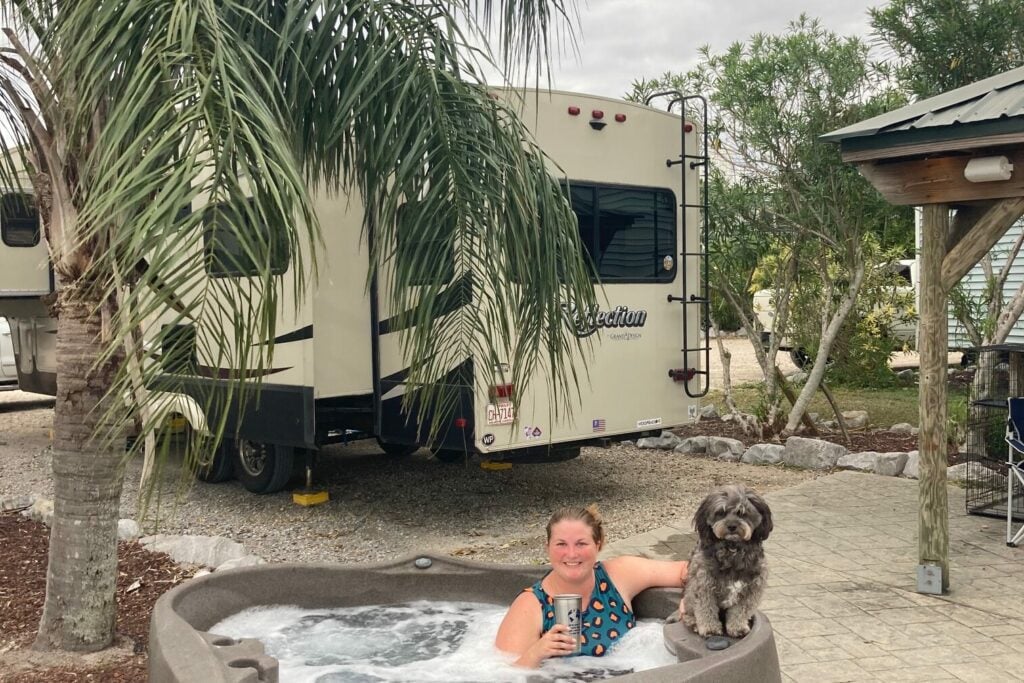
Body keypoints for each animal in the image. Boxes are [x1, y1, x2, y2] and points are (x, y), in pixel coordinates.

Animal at [684, 483, 770, 638]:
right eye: (721, 512)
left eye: (742, 512)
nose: (731, 526)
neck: (732, 550)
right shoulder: (703, 585)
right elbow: (706, 609)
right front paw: (710, 628)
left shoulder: (752, 588)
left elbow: (740, 611)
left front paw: (737, 627)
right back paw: (693, 623)